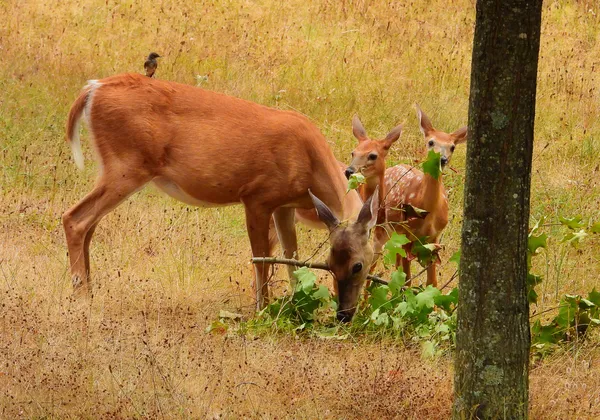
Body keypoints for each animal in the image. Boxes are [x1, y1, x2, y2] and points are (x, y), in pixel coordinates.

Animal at [62, 72, 366, 310]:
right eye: (352, 265)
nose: (346, 312)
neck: (313, 162)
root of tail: (93, 88)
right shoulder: (257, 197)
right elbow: (261, 259)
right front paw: (262, 309)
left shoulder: (283, 206)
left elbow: (291, 258)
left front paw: (297, 303)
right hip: (126, 166)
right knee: (75, 219)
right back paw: (81, 298)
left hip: (116, 168)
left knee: (89, 225)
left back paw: (90, 290)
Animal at [344, 106, 466, 288]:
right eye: (431, 142)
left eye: (452, 147)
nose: (442, 159)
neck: (427, 209)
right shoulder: (406, 234)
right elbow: (407, 279)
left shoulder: (433, 240)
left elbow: (432, 283)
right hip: (385, 230)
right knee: (375, 263)